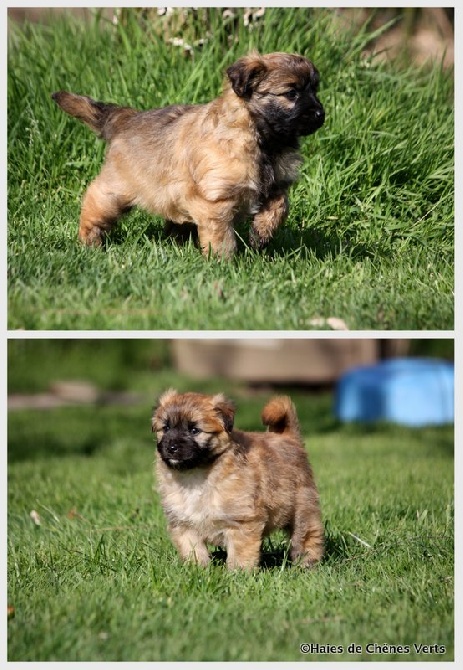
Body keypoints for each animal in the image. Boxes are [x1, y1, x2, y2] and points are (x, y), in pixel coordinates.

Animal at [52, 50, 324, 258]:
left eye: (315, 90)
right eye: (291, 93)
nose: (321, 114)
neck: (262, 140)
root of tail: (126, 118)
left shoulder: (276, 185)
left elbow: (280, 207)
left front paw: (261, 235)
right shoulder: (216, 200)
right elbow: (221, 234)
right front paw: (224, 261)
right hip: (117, 189)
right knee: (95, 200)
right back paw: (90, 240)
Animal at [151, 388, 322, 572]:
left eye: (194, 430)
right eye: (166, 428)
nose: (171, 447)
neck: (196, 474)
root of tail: (289, 438)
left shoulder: (241, 521)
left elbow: (240, 551)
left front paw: (238, 573)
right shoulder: (184, 524)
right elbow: (193, 550)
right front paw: (196, 570)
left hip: (303, 509)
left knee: (307, 536)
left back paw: (307, 563)